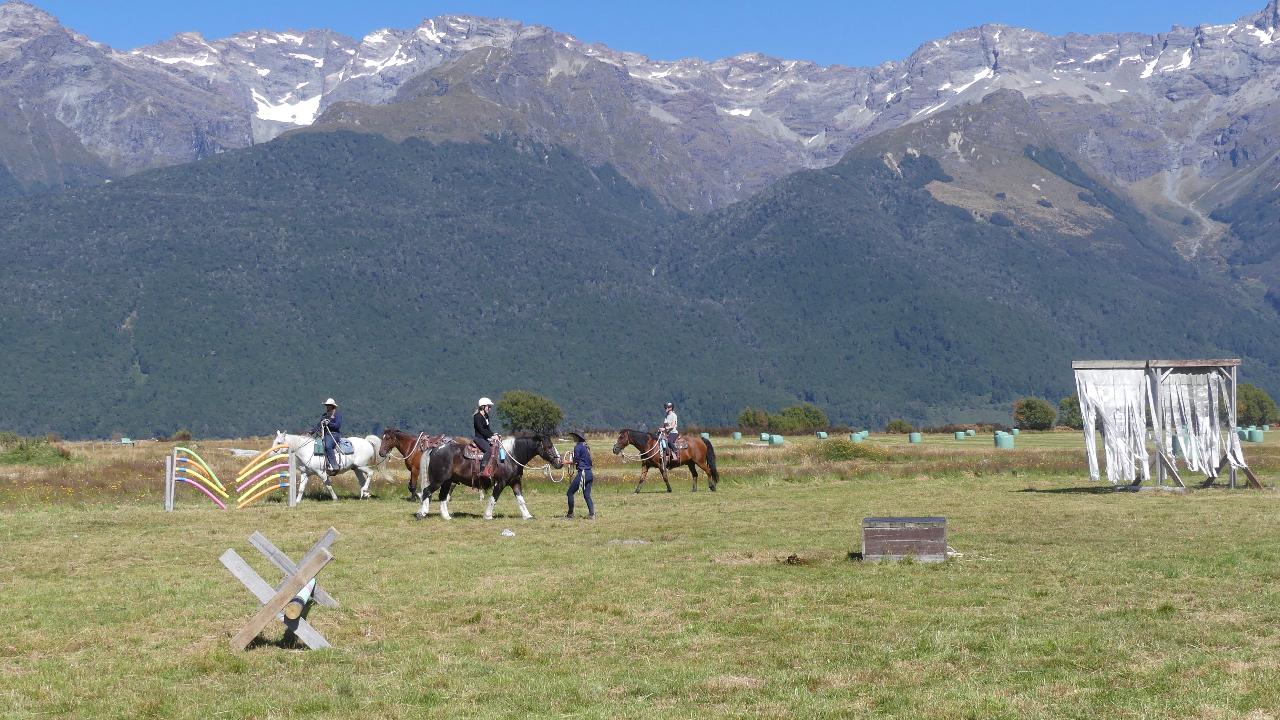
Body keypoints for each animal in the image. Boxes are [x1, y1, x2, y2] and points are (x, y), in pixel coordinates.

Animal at [417, 427, 563, 517]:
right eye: (549, 446)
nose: (560, 462)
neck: (510, 455)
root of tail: (435, 449)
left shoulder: (515, 482)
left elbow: (521, 500)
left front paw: (527, 515)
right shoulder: (501, 482)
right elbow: (494, 498)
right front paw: (487, 515)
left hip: (447, 481)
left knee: (442, 496)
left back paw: (446, 517)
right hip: (438, 480)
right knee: (427, 491)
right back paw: (422, 513)